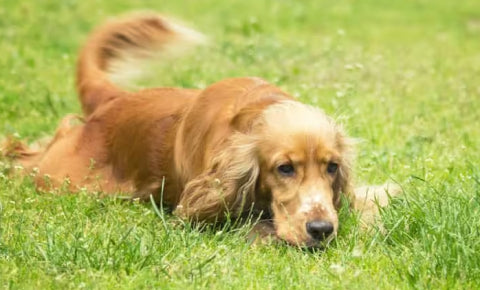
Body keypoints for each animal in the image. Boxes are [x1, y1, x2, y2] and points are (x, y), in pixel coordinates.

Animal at [1, 11, 400, 247]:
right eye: (284, 168)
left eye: (332, 167)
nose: (321, 230)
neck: (257, 110)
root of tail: (114, 100)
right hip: (62, 178)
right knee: (21, 152)